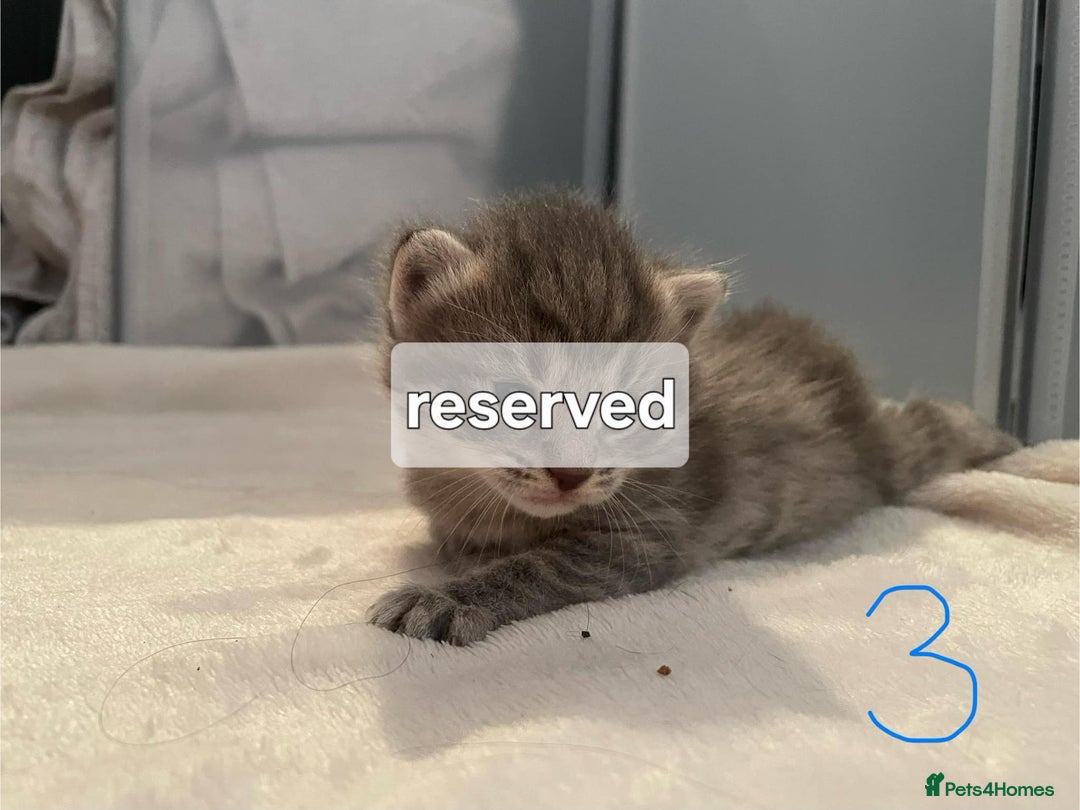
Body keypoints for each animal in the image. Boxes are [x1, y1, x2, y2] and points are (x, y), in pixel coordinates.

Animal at [368, 191, 1019, 645]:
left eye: (626, 405)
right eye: (510, 396)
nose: (572, 476)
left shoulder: (646, 537)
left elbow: (538, 567)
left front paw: (448, 598)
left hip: (886, 455)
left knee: (924, 425)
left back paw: (997, 438)